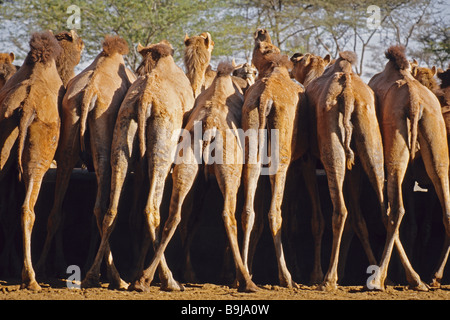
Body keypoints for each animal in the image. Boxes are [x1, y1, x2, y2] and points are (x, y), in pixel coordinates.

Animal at [35, 34, 134, 288]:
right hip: (103, 140)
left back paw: (41, 269)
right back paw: (110, 277)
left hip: (69, 135)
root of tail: (90, 92)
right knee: (103, 207)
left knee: (57, 211)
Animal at [82, 40, 195, 292]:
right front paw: (141, 274)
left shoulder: (140, 166)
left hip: (123, 132)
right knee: (152, 209)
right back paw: (162, 280)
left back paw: (96, 277)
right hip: (163, 145)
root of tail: (144, 100)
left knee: (111, 208)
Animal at [368, 46, 448, 292]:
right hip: (435, 137)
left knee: (395, 210)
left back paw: (382, 279)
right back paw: (434, 277)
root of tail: (415, 102)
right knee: (446, 208)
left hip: (396, 145)